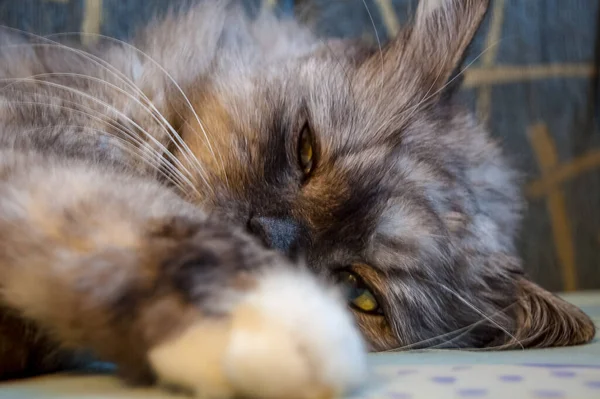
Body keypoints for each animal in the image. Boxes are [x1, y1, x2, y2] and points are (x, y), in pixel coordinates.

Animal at [0, 0, 592, 398]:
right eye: (307, 149)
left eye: (359, 293)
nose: (264, 233)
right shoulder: (44, 146)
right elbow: (134, 223)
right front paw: (272, 323)